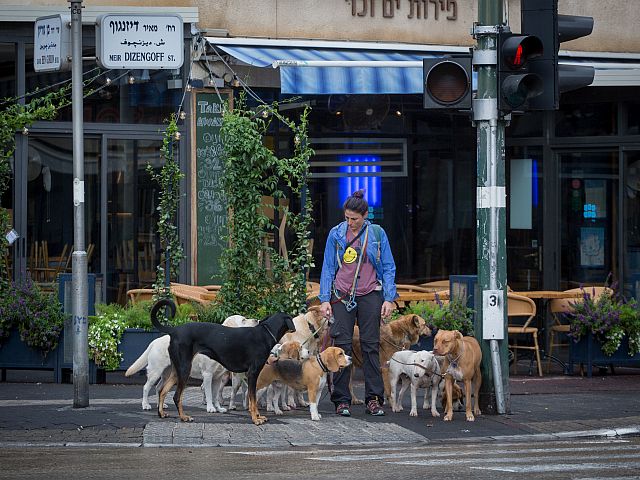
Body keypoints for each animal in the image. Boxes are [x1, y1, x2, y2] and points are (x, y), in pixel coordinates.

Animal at [152, 300, 296, 424]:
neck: (265, 333)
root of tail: (174, 330)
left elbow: (252, 398)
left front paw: (258, 416)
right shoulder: (252, 374)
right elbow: (252, 398)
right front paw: (255, 419)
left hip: (177, 371)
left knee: (163, 391)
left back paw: (161, 413)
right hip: (184, 369)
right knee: (176, 396)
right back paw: (183, 417)